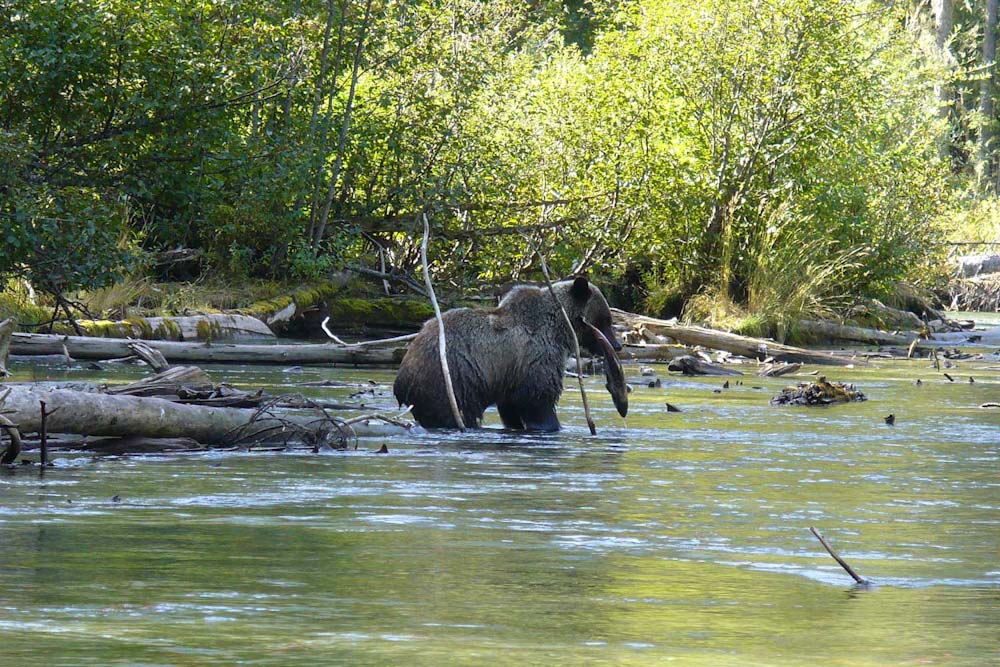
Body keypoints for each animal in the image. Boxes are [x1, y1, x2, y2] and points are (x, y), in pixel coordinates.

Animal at [392, 278, 620, 430]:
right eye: (604, 320)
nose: (616, 345)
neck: (560, 328)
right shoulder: (536, 358)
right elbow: (539, 400)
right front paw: (552, 425)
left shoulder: (510, 377)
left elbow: (512, 407)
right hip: (452, 380)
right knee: (451, 413)